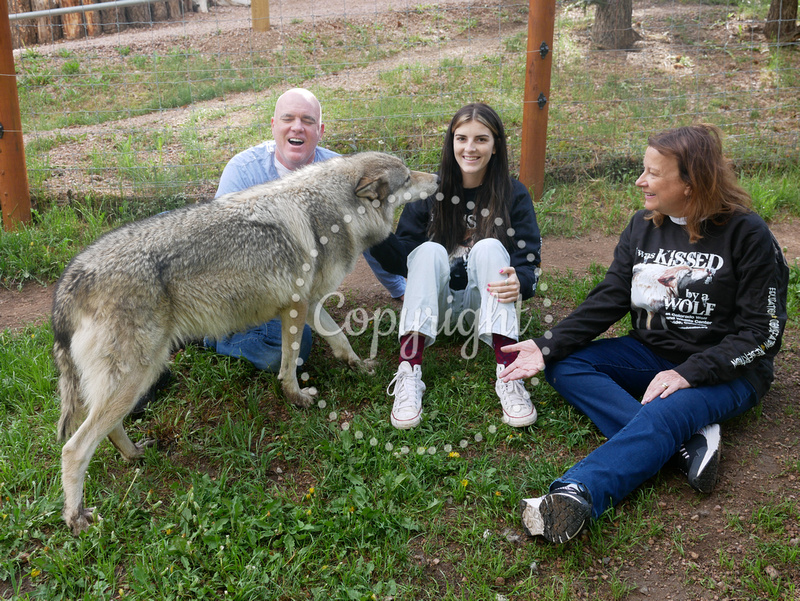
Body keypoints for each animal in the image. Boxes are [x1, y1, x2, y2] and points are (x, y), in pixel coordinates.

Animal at [51, 151, 438, 536]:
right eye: (407, 178)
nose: (435, 178)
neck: (334, 208)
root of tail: (69, 281)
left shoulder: (312, 303)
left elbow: (339, 337)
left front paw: (356, 364)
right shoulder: (296, 306)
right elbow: (290, 362)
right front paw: (297, 397)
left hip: (132, 379)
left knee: (107, 429)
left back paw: (135, 454)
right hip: (135, 377)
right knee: (74, 448)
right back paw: (77, 516)